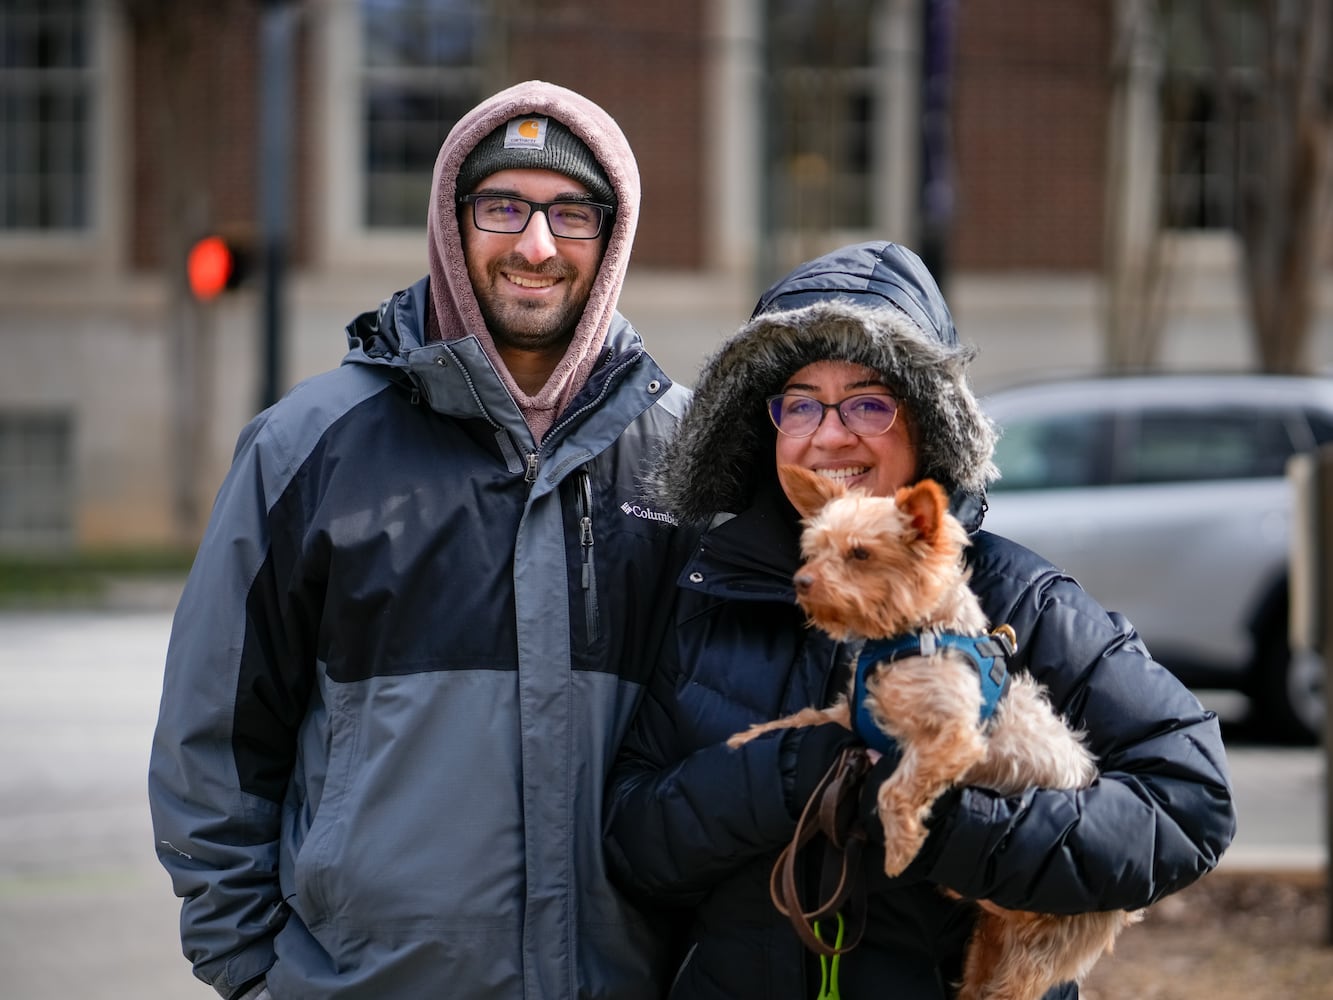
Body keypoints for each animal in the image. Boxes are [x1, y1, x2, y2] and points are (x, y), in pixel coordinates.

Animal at [728, 464, 1139, 1000]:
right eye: (813, 548)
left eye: (860, 553)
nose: (802, 581)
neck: (909, 638)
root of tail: (1120, 911)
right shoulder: (854, 715)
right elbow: (805, 719)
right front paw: (748, 739)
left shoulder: (950, 739)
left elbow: (894, 791)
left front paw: (901, 848)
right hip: (984, 949)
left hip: (1030, 957)